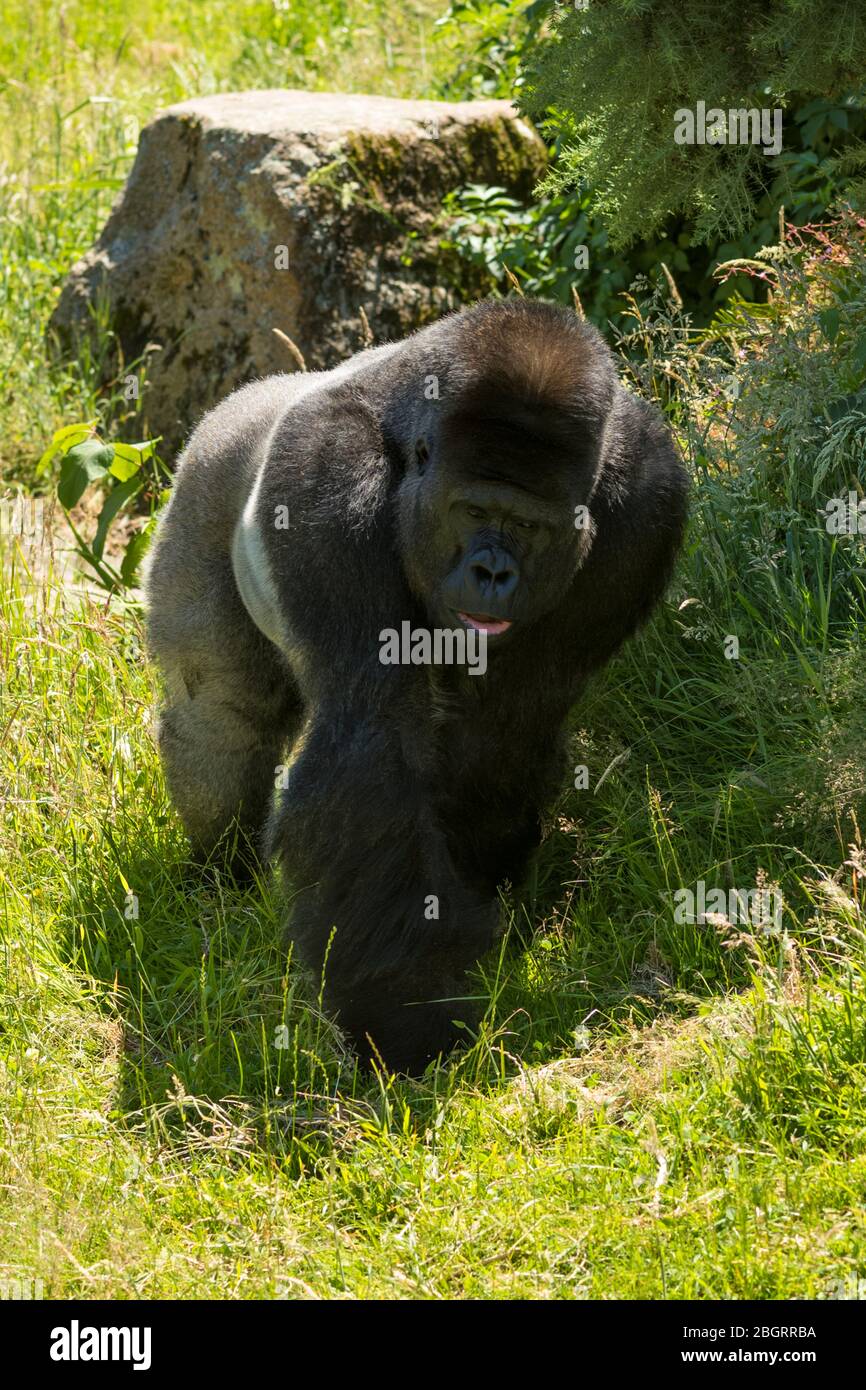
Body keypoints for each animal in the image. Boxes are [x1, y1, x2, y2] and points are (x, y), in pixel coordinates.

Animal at [145, 298, 688, 1072]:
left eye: (530, 525)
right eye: (473, 511)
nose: (494, 573)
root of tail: (252, 393)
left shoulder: (647, 499)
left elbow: (506, 725)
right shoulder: (325, 474)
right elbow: (372, 743)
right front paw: (406, 1017)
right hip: (208, 474)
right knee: (220, 710)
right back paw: (220, 872)